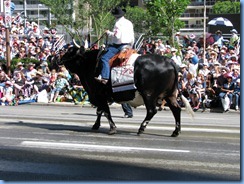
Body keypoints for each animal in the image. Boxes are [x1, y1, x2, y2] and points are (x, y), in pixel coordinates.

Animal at [60, 46, 193, 137]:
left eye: (70, 52)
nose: (59, 59)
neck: (90, 64)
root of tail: (169, 61)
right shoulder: (100, 97)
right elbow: (100, 111)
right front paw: (96, 125)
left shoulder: (98, 95)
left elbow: (105, 112)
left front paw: (112, 128)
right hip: (170, 95)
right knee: (176, 109)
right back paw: (175, 131)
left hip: (148, 94)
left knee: (152, 110)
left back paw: (141, 128)